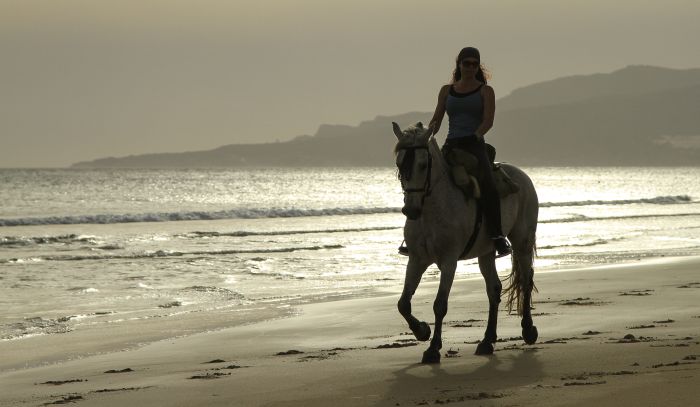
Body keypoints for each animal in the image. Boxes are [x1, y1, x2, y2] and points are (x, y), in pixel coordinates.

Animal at [394, 121, 536, 364]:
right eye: (399, 163)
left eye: (423, 164)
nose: (410, 210)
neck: (432, 211)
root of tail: (522, 176)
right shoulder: (416, 260)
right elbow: (403, 303)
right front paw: (422, 331)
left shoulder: (449, 261)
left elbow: (440, 305)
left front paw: (433, 349)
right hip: (486, 252)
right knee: (494, 289)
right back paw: (487, 341)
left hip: (523, 241)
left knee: (526, 280)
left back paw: (528, 330)